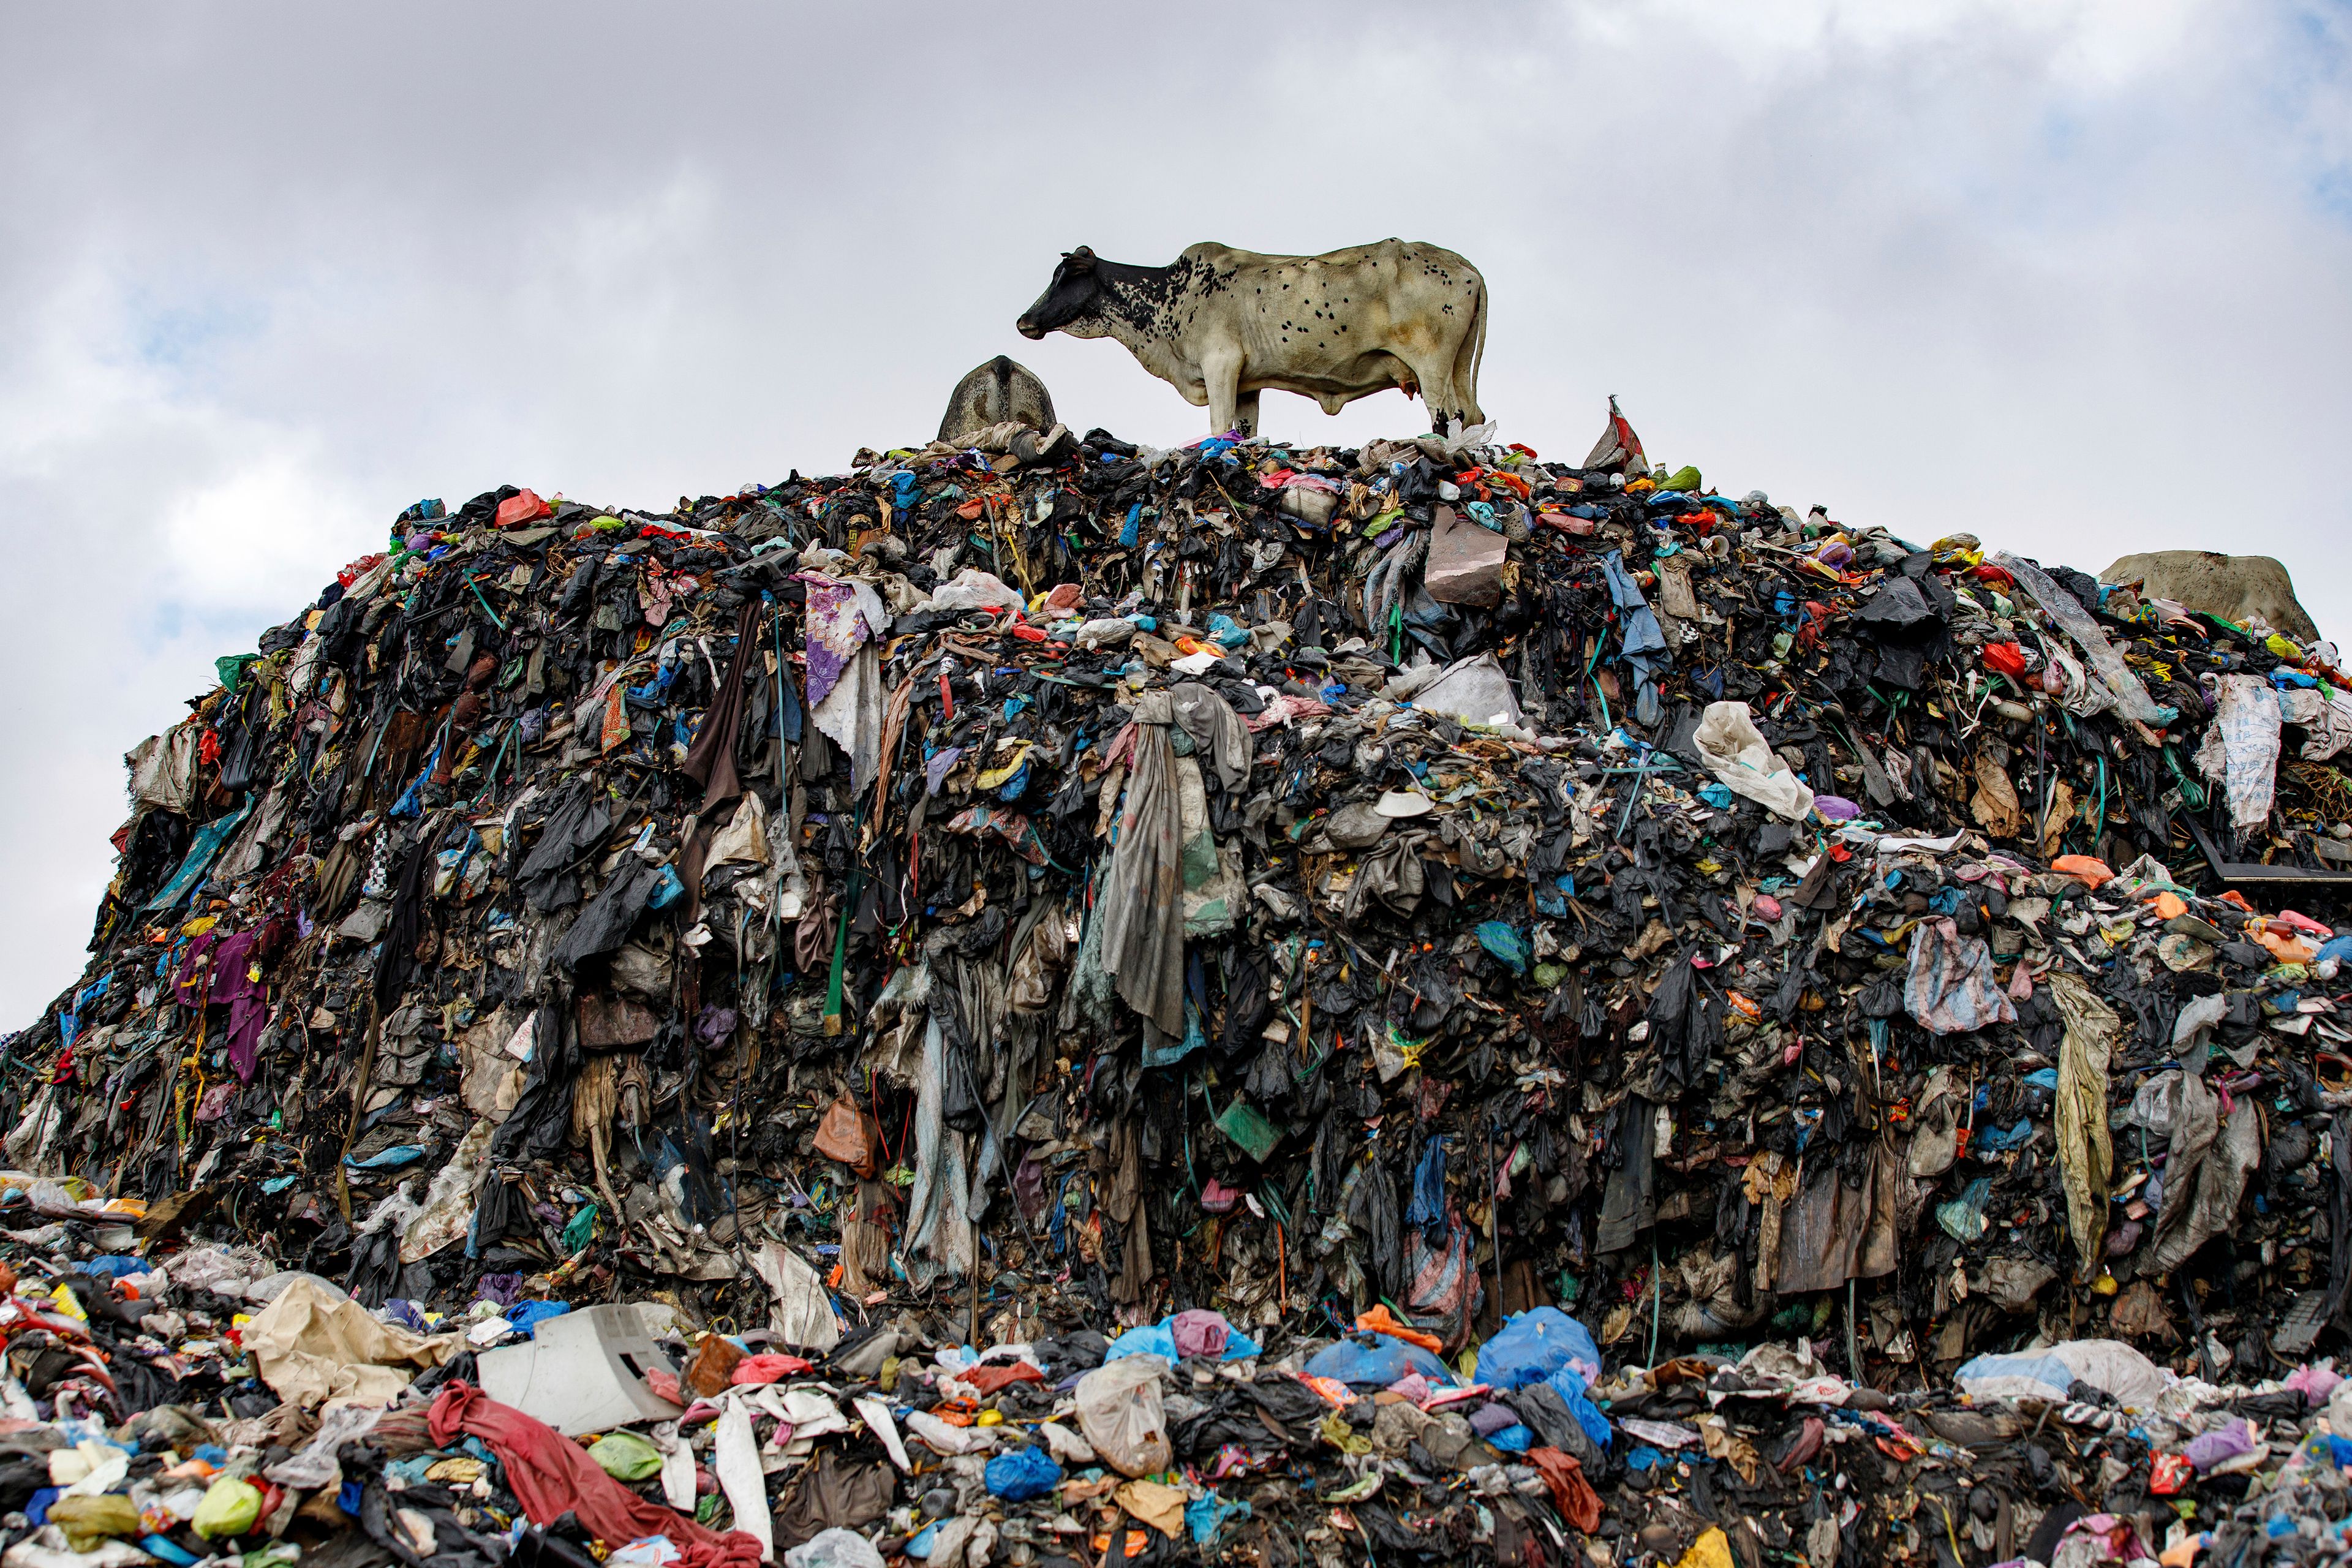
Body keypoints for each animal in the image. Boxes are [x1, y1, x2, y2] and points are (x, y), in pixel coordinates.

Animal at [1016, 242, 1486, 444]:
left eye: (1066, 275)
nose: (1024, 321)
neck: (1170, 294)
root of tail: (1468, 268)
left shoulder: (1220, 366)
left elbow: (1216, 428)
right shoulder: (1247, 385)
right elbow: (1241, 433)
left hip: (1431, 367)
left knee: (1445, 420)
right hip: (1460, 370)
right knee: (1473, 417)